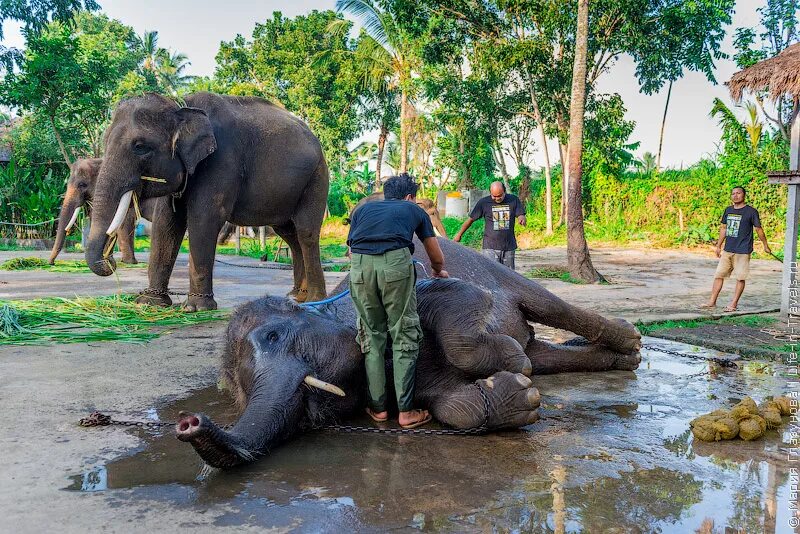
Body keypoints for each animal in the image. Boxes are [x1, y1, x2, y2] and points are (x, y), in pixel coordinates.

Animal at [84, 92, 328, 310]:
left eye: (140, 147)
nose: (110, 260)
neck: (181, 106)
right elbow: (166, 223)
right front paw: (149, 303)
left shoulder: (222, 161)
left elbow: (204, 219)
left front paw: (196, 308)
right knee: (289, 234)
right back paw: (297, 297)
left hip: (316, 177)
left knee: (305, 232)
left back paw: (315, 300)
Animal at [178, 239, 640, 468]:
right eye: (306, 417)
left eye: (273, 336)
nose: (187, 423)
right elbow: (455, 406)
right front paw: (521, 393)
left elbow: (462, 298)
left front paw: (510, 361)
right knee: (543, 354)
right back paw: (611, 358)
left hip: (487, 264)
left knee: (548, 305)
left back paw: (630, 341)